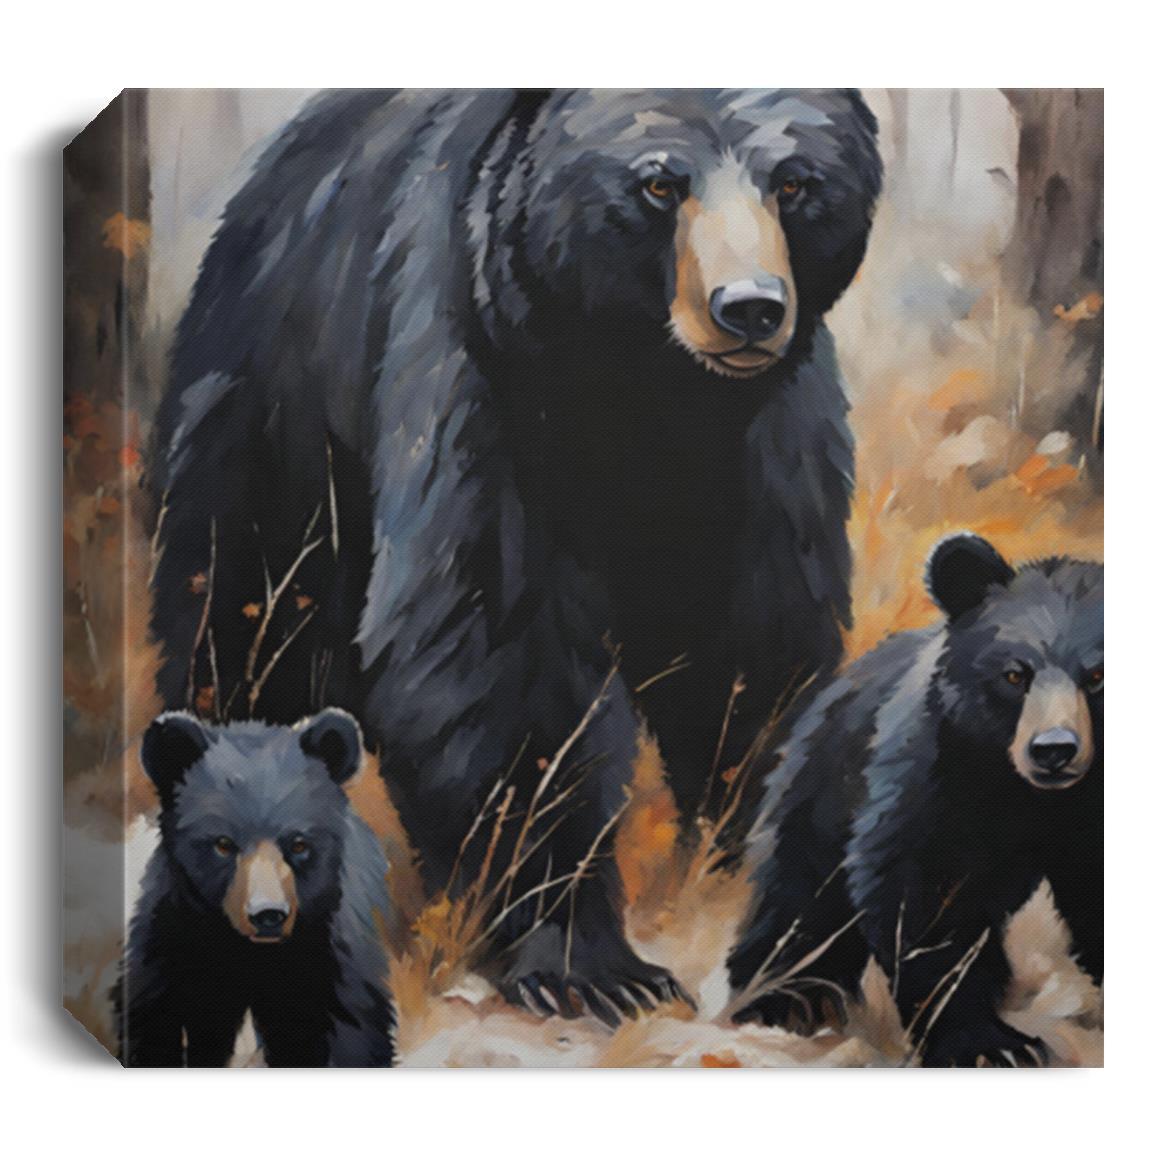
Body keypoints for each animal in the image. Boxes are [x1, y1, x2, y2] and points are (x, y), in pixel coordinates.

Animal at [115, 708, 396, 1066]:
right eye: (223, 843)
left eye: (299, 844)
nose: (268, 915)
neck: (248, 952)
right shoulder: (173, 935)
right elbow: (152, 1017)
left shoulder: (330, 952)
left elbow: (354, 1027)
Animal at [149, 89, 881, 1022]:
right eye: (657, 183)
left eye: (794, 182)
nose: (748, 307)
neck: (646, 384)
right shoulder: (479, 365)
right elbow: (494, 643)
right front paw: (591, 962)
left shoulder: (764, 437)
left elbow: (752, 638)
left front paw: (752, 879)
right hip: (274, 417)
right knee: (243, 618)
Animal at [727, 533, 1103, 1067]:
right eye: (1014, 675)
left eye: (1096, 677)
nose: (1053, 750)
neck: (1031, 799)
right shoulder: (936, 777)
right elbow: (923, 896)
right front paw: (988, 1044)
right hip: (822, 788)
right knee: (800, 897)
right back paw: (785, 1000)